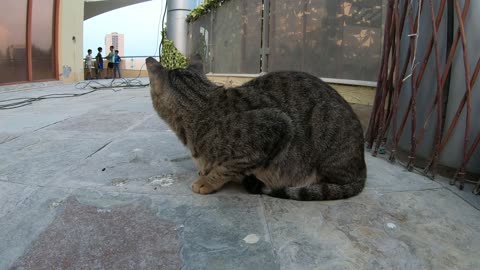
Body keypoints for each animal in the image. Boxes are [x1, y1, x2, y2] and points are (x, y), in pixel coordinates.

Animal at [144, 55, 366, 200]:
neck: (203, 104)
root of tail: (362, 166)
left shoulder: (278, 125)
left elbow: (227, 167)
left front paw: (208, 180)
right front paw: (205, 171)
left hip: (324, 123)